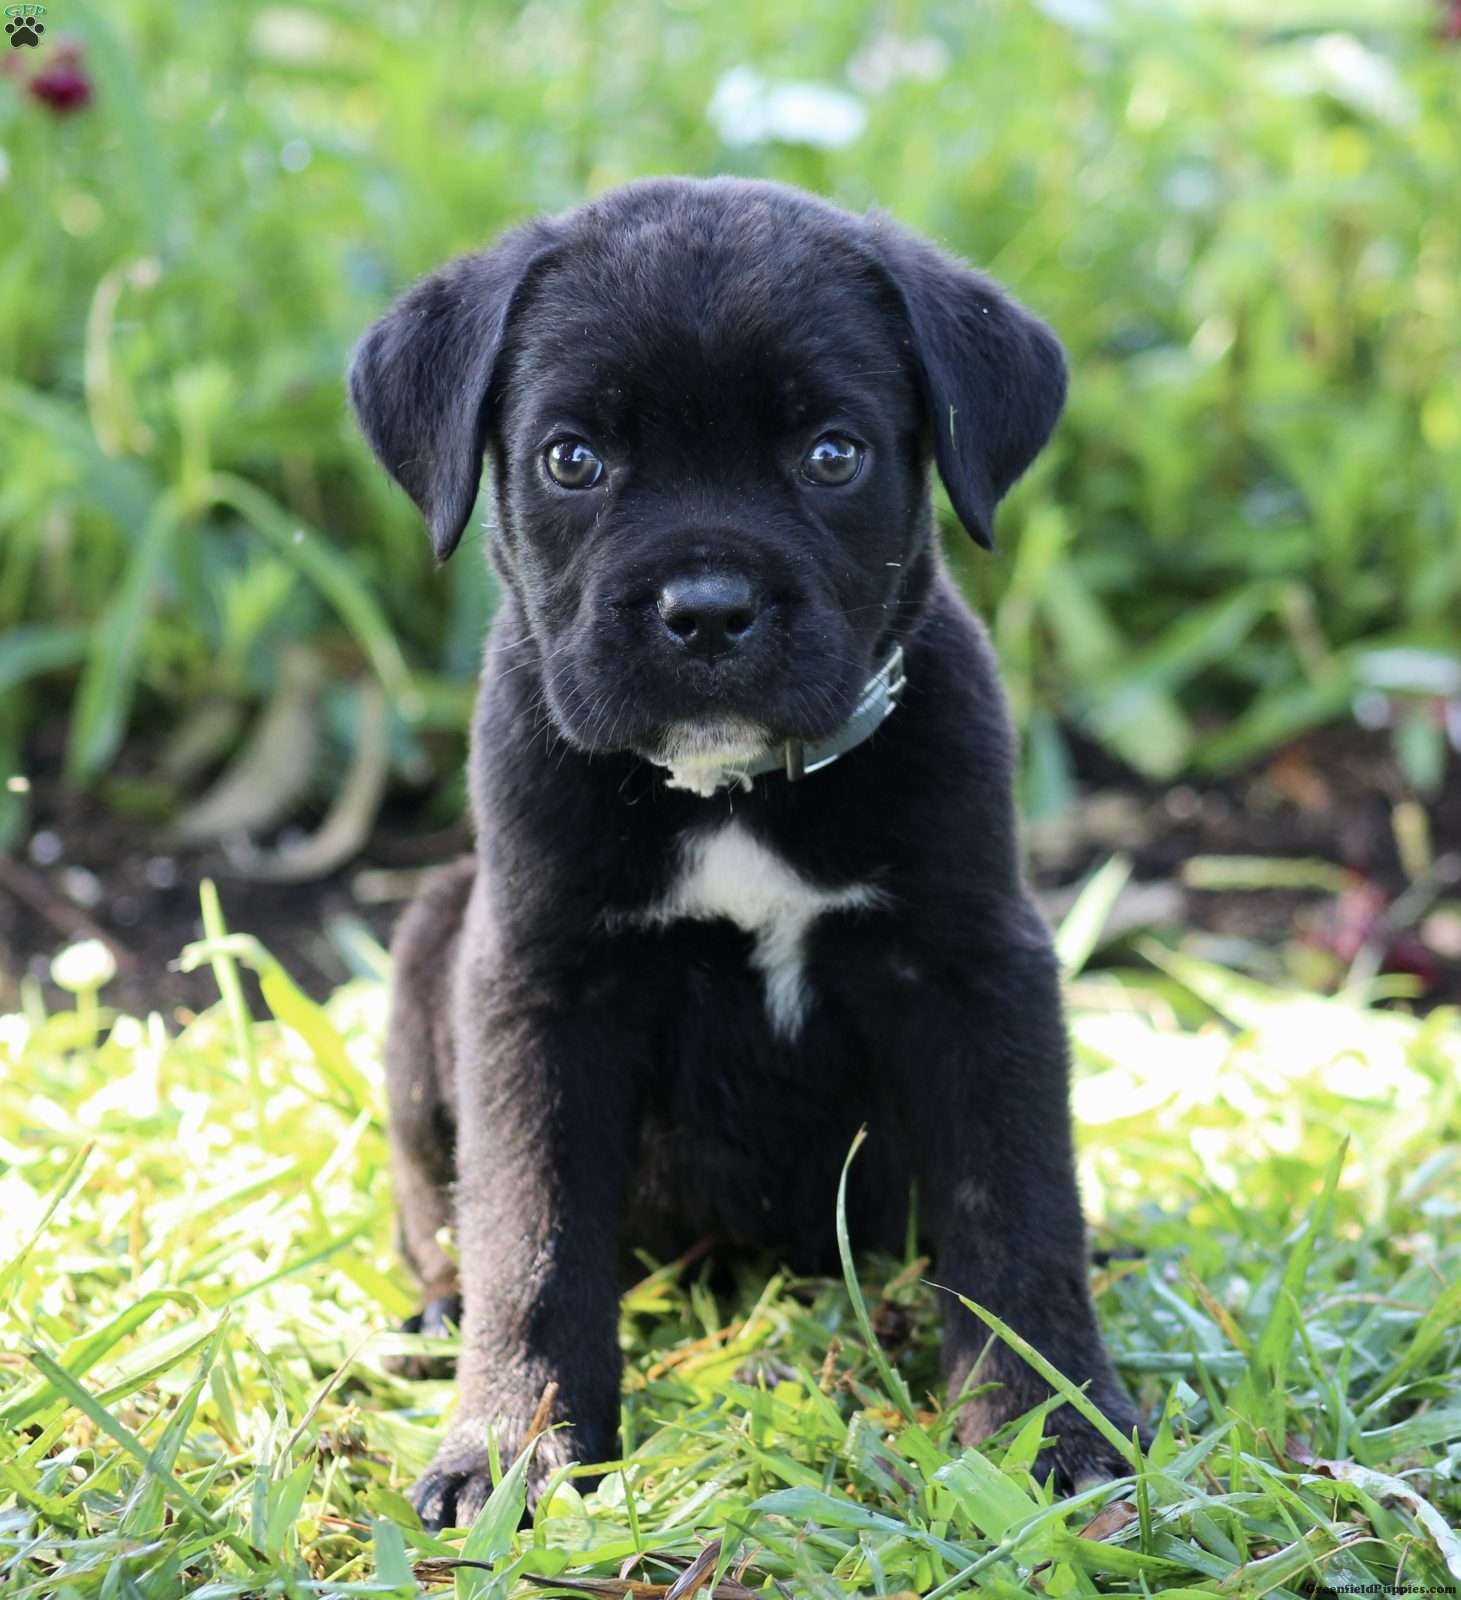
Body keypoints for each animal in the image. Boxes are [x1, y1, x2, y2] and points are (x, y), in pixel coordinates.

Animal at [350, 175, 1139, 1523]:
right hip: (428, 948)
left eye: (833, 454)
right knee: (435, 1201)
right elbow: (532, 1229)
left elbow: (1016, 1208)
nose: (708, 610)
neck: (730, 791)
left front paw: (1051, 1427)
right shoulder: (539, 987)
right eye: (573, 458)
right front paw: (511, 1444)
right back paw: (437, 1309)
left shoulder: (976, 971)